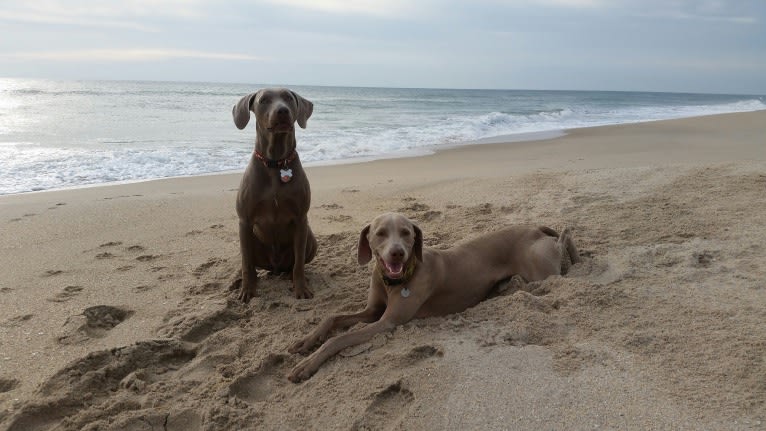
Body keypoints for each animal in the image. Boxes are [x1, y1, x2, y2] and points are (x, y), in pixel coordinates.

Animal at [232, 88, 320, 302]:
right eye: (263, 100)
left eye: (288, 98)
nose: (282, 111)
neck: (276, 162)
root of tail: (276, 267)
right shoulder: (244, 221)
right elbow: (246, 264)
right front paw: (247, 290)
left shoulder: (301, 219)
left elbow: (299, 264)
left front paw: (301, 288)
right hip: (251, 239)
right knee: (250, 264)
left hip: (311, 240)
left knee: (294, 264)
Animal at [288, 211, 584, 384]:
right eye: (380, 233)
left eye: (406, 233)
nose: (397, 253)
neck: (397, 279)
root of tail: (535, 228)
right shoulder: (372, 311)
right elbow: (332, 317)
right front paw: (306, 341)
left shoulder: (386, 322)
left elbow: (339, 339)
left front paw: (306, 365)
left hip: (541, 272)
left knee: (564, 239)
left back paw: (572, 247)